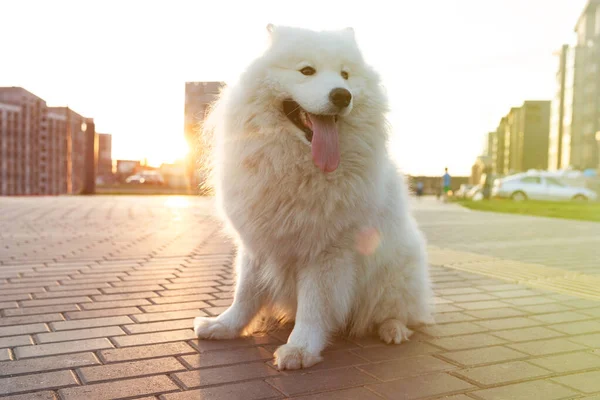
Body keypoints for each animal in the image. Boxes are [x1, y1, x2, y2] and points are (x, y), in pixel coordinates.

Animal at [195, 24, 434, 368]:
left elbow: (313, 306)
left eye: (345, 75)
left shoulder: (325, 251)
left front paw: (300, 349)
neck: (296, 166)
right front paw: (225, 326)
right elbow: (245, 293)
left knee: (399, 312)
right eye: (307, 71)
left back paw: (393, 329)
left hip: (396, 273)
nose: (342, 95)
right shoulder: (256, 242)